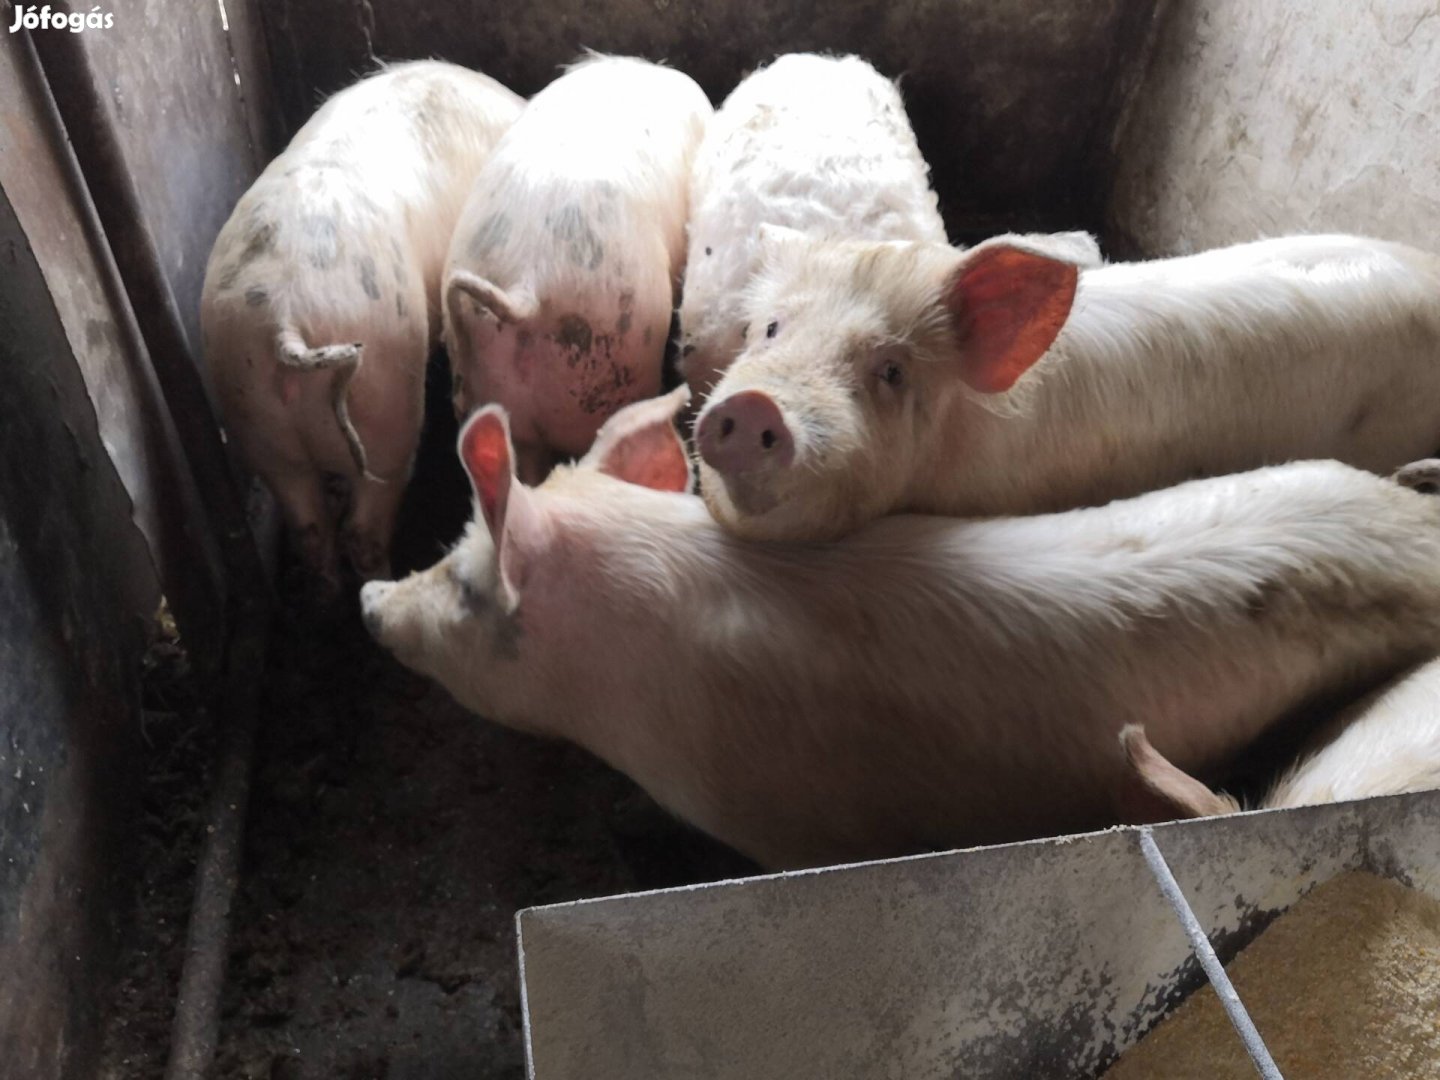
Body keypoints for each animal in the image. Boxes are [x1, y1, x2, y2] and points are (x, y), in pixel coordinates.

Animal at [202, 61, 523, 584]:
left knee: (311, 528)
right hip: (385, 397)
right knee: (365, 524)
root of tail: (286, 319)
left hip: (252, 413)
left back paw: (328, 589)